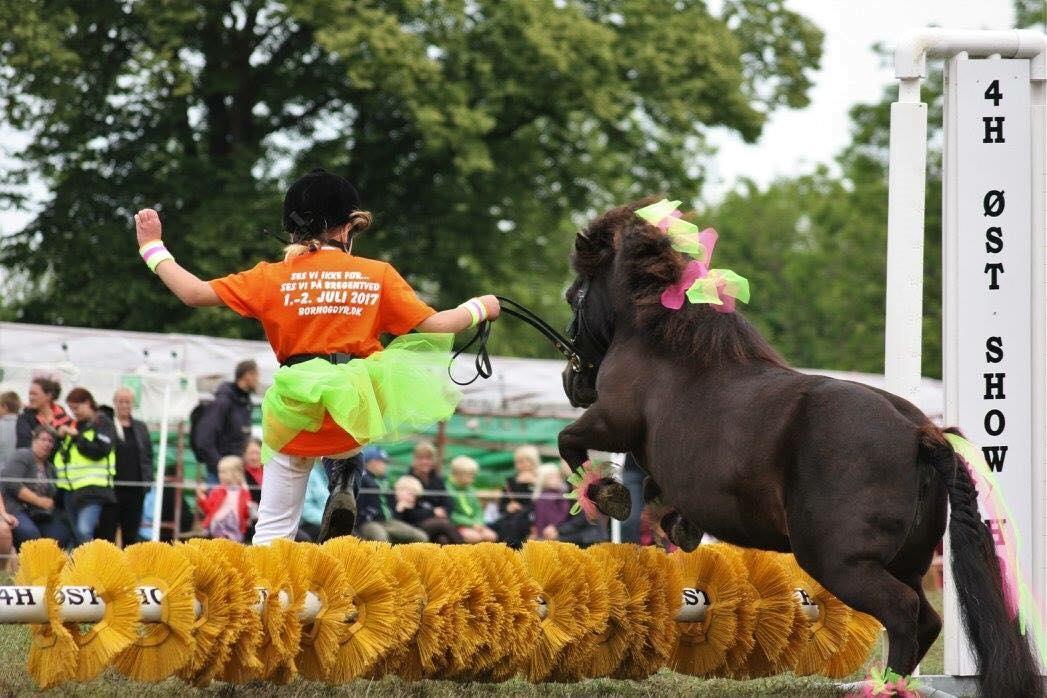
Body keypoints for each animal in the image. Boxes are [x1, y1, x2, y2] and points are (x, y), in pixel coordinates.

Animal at [557, 198, 1038, 694]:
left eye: (574, 294)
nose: (572, 381)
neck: (661, 346)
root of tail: (920, 433)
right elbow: (653, 490)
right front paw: (677, 523)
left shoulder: (612, 423)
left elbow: (569, 442)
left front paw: (607, 495)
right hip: (906, 562)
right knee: (926, 620)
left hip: (843, 564)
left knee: (905, 615)